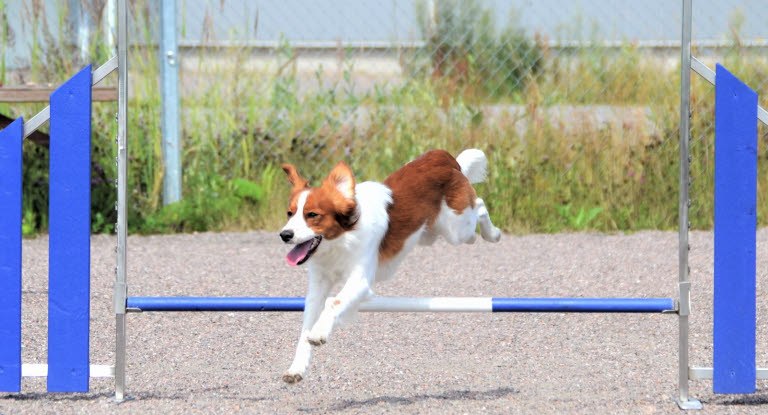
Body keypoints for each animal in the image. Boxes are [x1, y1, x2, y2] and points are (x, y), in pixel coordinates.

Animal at [280, 149, 500, 384]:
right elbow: (306, 327)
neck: (341, 240)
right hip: (431, 233)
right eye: (290, 213)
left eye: (312, 215)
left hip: (457, 229)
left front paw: (319, 333)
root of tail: (442, 156)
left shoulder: (360, 280)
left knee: (480, 206)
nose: (284, 235)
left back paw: (493, 234)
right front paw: (297, 368)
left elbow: (334, 302)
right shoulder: (318, 285)